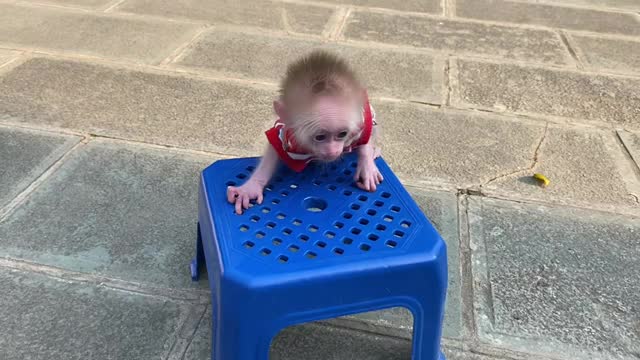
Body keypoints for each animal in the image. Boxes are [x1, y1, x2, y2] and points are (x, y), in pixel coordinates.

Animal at [228, 49, 382, 215]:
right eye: (320, 137)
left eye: (342, 134)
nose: (333, 151)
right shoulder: (289, 136)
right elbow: (274, 148)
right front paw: (252, 187)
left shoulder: (359, 121)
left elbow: (366, 131)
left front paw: (367, 163)